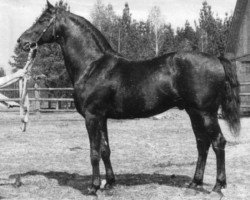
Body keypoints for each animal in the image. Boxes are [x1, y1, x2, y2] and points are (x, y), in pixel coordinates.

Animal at [17, 1, 240, 195]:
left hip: (206, 113)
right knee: (202, 143)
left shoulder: (92, 117)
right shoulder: (102, 117)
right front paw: (109, 183)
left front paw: (93, 187)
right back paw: (195, 182)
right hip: (194, 112)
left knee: (218, 142)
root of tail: (216, 59)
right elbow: (105, 149)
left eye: (42, 19)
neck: (93, 66)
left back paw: (218, 186)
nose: (21, 42)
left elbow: (94, 152)